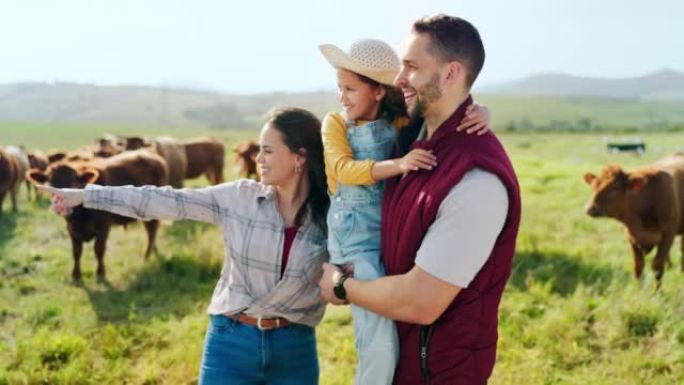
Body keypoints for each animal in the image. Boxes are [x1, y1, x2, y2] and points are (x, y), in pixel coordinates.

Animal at [28, 151, 170, 282]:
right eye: (50, 183)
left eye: (73, 183)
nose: (61, 206)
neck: (80, 216)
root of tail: (152, 156)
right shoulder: (71, 229)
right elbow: (76, 252)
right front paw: (76, 275)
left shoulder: (103, 227)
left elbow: (99, 250)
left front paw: (100, 273)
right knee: (152, 231)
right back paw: (153, 249)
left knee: (152, 230)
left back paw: (146, 256)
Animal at [584, 152, 684, 284]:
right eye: (594, 185)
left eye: (615, 187)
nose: (590, 208)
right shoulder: (632, 238)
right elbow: (638, 267)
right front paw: (637, 287)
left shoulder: (667, 236)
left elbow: (657, 267)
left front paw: (656, 290)